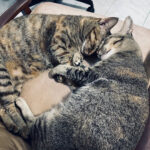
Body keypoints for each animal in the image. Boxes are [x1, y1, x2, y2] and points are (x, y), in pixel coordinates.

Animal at [0, 13, 150, 149]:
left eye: (98, 49)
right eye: (99, 44)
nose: (96, 53)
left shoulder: (90, 73)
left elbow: (72, 68)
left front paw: (67, 68)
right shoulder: (58, 44)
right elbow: (68, 60)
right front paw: (72, 63)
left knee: (19, 120)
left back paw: (17, 122)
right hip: (5, 79)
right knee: (10, 108)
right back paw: (19, 122)